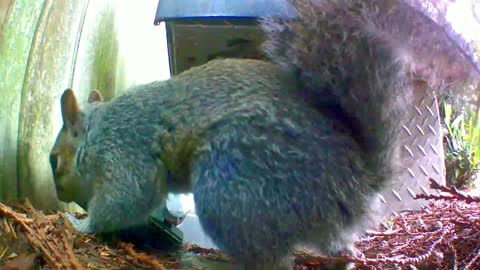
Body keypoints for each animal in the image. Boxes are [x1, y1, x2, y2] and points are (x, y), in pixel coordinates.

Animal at [50, 0, 478, 268]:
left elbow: (125, 198)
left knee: (273, 260)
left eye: (54, 160)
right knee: (337, 248)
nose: (60, 195)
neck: (99, 131)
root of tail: (359, 181)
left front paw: (80, 224)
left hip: (231, 184)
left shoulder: (125, 150)